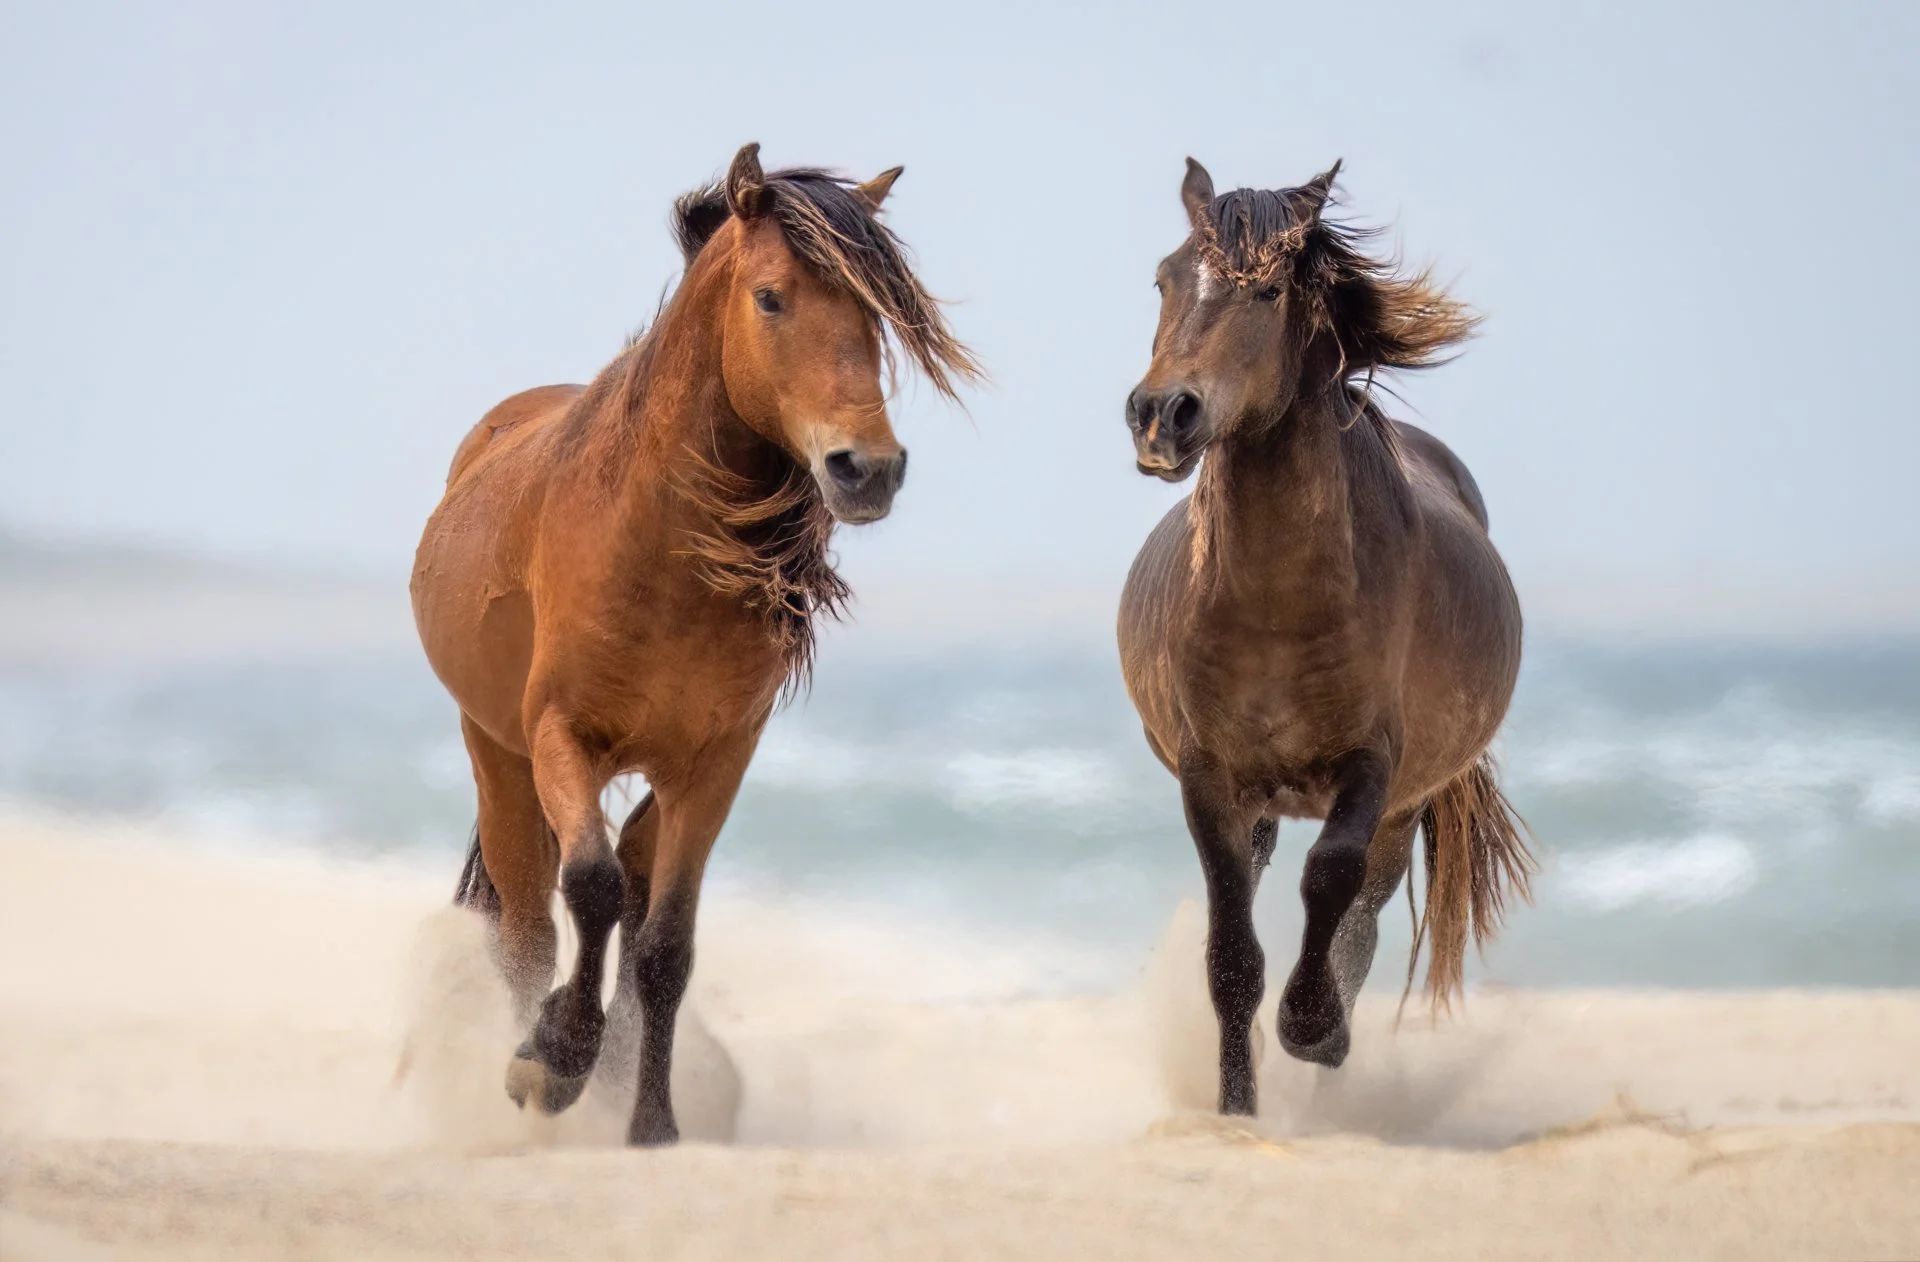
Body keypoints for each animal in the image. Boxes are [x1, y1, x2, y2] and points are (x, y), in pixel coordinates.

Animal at [410, 143, 979, 1145]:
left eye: (874, 312)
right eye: (771, 298)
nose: (867, 470)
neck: (655, 546)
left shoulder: (714, 763)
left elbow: (665, 946)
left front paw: (651, 1125)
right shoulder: (561, 737)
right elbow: (589, 888)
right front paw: (553, 1062)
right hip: (498, 756)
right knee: (527, 928)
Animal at [1116, 158, 1533, 1117]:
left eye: (1268, 289)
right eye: (1164, 278)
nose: (1160, 416)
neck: (1276, 605)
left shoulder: (1373, 766)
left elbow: (1332, 882)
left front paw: (1314, 1028)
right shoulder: (1210, 777)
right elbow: (1232, 953)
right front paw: (1238, 1107)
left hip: (1407, 802)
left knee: (1364, 916)